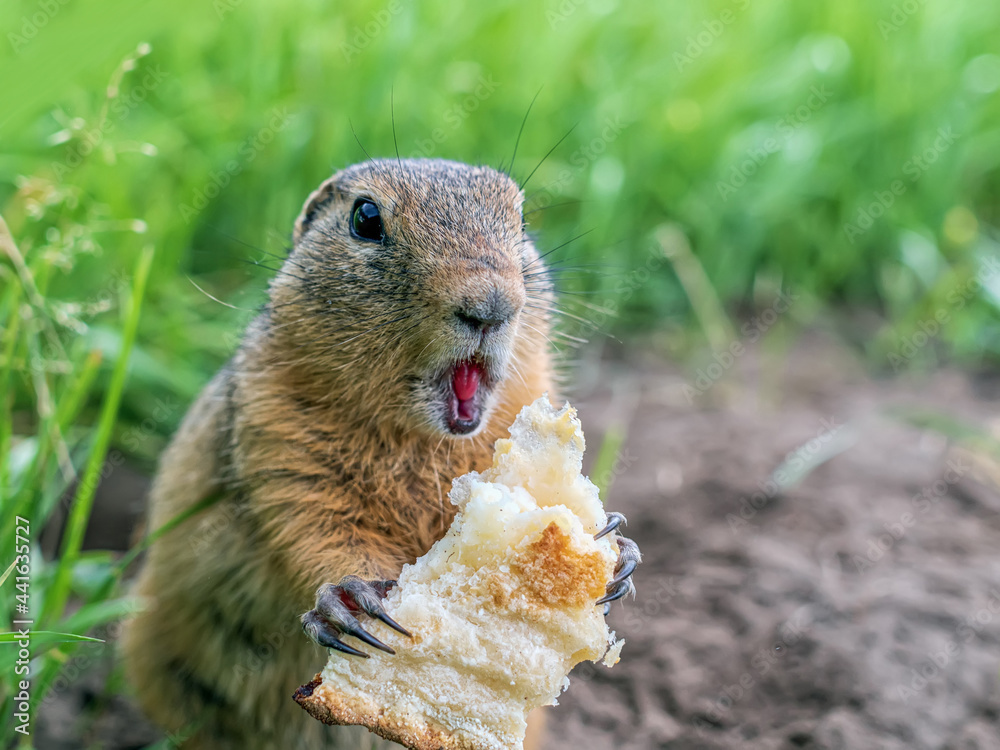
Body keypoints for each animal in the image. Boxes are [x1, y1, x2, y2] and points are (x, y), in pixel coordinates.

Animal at [123, 156, 640, 748]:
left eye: (522, 219)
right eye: (365, 218)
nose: (490, 305)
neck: (419, 437)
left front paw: (619, 552)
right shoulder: (275, 435)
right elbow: (310, 525)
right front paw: (346, 602)